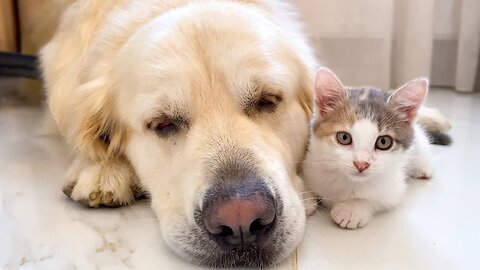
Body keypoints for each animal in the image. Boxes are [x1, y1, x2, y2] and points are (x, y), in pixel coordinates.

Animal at [306, 68, 434, 230]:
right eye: (344, 137)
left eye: (384, 142)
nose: (361, 164)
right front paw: (305, 197)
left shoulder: (392, 188)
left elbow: (375, 199)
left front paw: (352, 209)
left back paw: (424, 169)